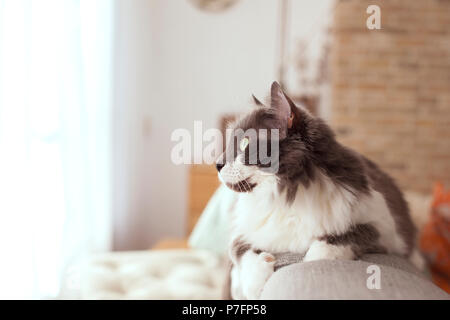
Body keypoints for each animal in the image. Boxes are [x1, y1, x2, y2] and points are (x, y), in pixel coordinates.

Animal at [218, 80, 422, 300]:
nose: (217, 164)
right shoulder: (241, 231)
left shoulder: (383, 228)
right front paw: (255, 285)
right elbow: (241, 252)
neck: (286, 195)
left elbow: (331, 245)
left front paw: (311, 261)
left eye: (244, 143)